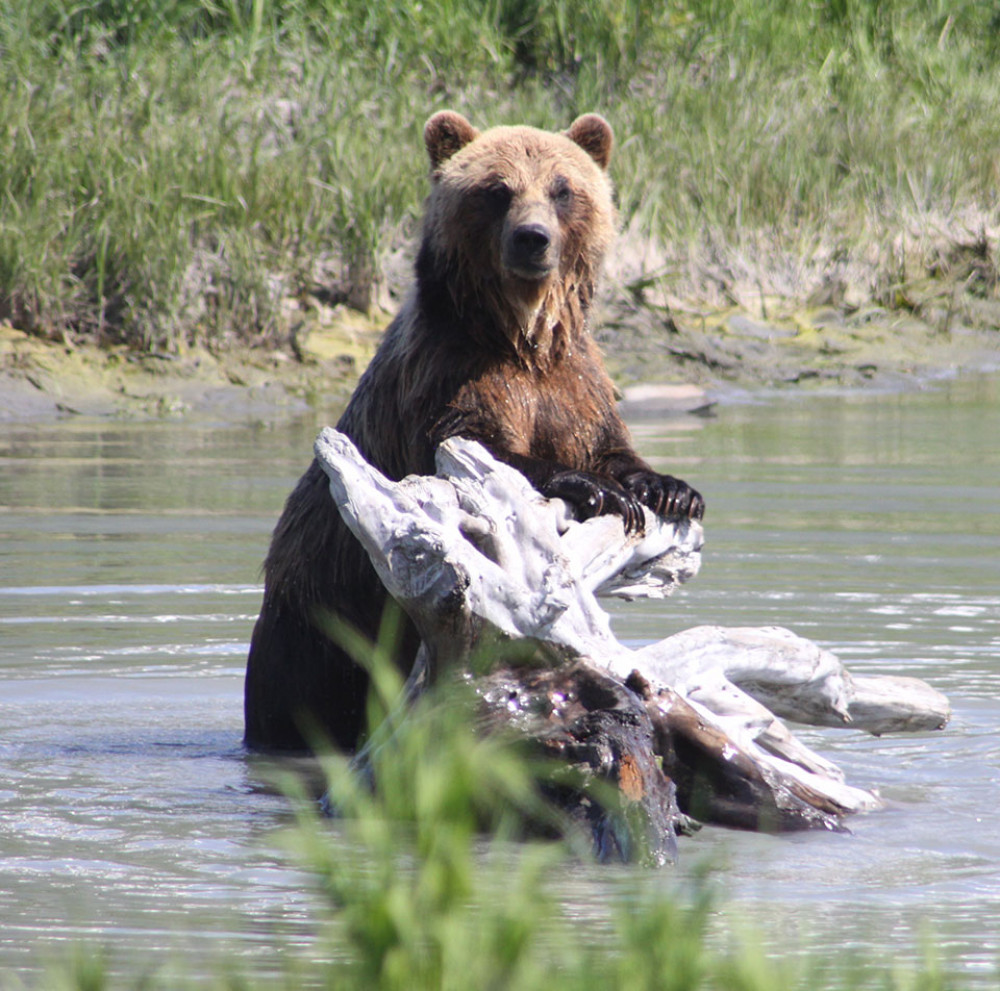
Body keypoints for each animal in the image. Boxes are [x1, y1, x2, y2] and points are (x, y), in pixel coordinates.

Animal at [246, 110, 708, 752]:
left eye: (562, 189)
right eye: (497, 189)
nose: (532, 238)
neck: (522, 338)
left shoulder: (575, 385)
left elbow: (609, 444)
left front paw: (668, 488)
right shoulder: (448, 373)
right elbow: (471, 446)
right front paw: (595, 488)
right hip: (321, 623)